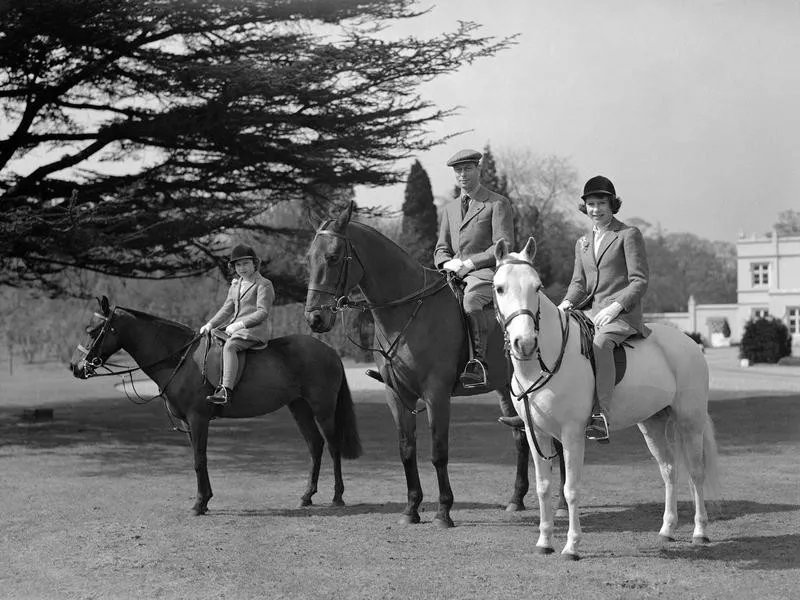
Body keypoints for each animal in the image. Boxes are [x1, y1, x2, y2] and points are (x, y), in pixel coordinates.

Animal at [70, 296, 360, 516]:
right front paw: (205, 499)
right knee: (315, 445)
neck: (180, 358)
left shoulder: (198, 419)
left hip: (322, 408)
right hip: (299, 407)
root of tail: (329, 350)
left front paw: (200, 504)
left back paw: (337, 496)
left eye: (93, 331)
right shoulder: (189, 423)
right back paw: (307, 496)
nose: (75, 367)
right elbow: (198, 458)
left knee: (332, 446)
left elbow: (199, 459)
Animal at [304, 204, 564, 528]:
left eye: (333, 257)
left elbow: (439, 452)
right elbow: (406, 450)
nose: (315, 318)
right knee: (520, 438)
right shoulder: (396, 394)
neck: (407, 311)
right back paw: (516, 499)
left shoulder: (436, 393)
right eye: (309, 257)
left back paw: (562, 504)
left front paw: (443, 511)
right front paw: (411, 509)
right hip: (506, 388)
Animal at [490, 237, 720, 560]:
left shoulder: (572, 434)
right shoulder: (539, 436)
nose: (525, 343)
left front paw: (572, 546)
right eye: (499, 288)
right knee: (669, 470)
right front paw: (544, 542)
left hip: (691, 421)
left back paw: (700, 532)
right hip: (652, 423)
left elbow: (571, 489)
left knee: (696, 473)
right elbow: (544, 487)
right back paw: (667, 530)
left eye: (537, 286)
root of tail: (689, 341)